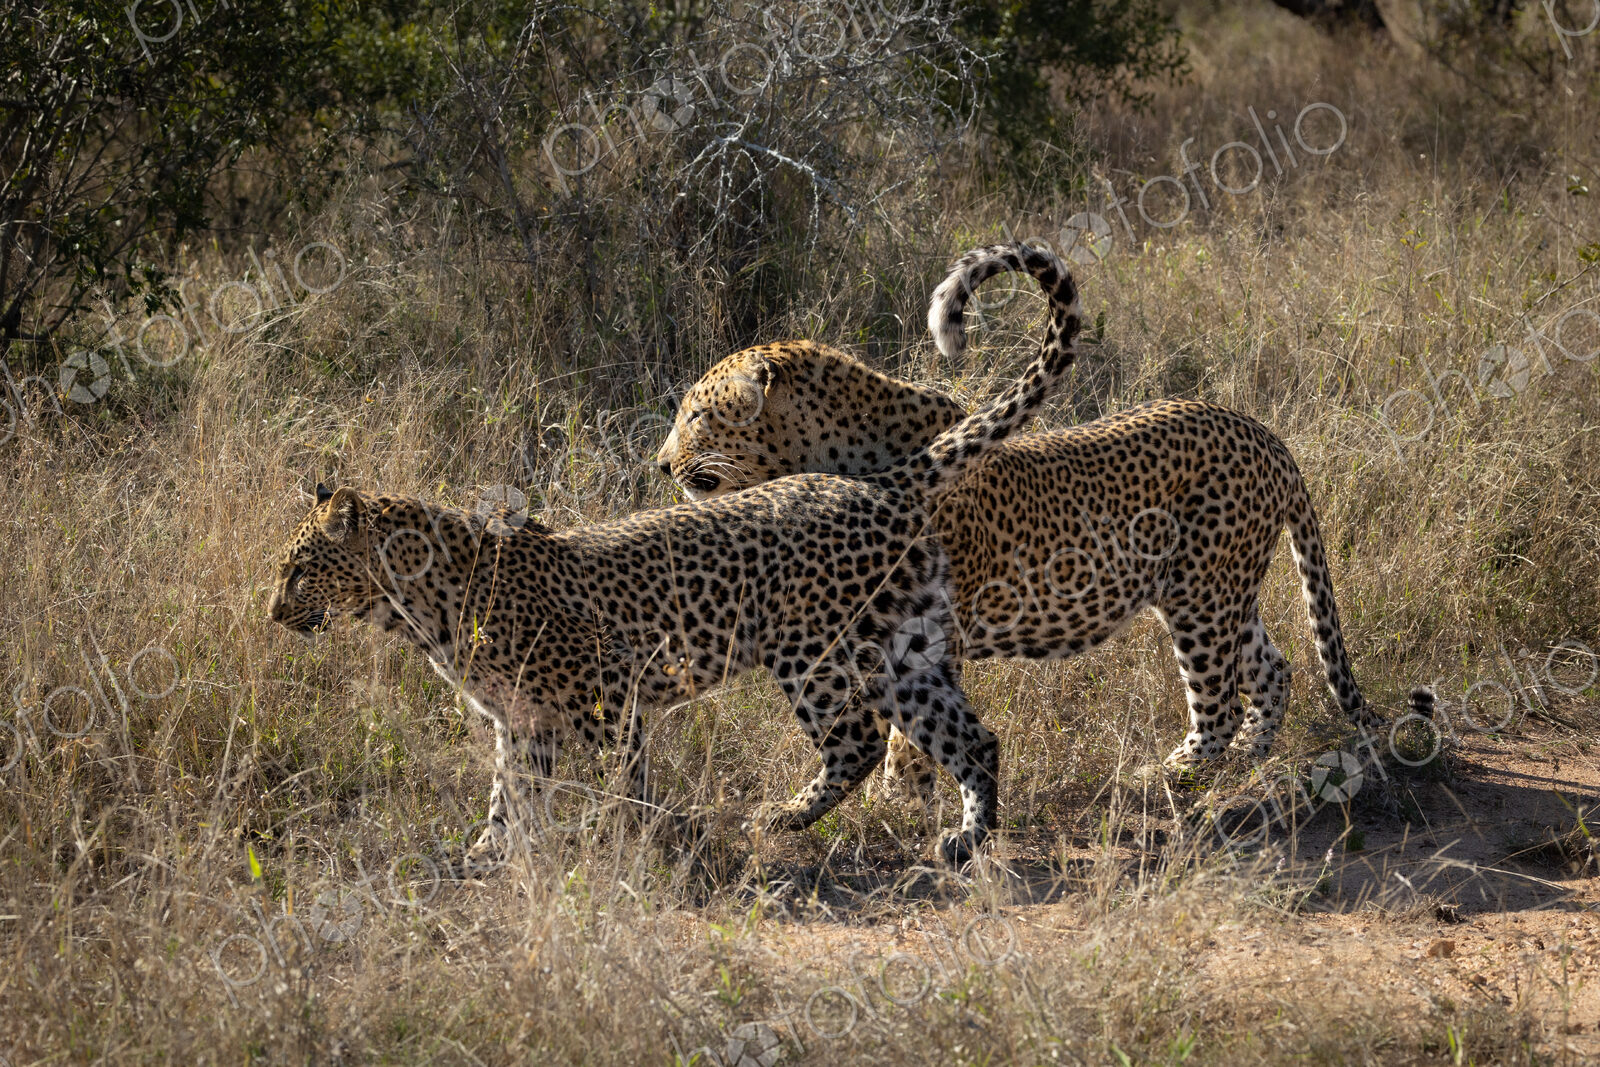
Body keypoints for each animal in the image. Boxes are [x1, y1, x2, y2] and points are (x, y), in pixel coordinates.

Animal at [266, 241, 1084, 870]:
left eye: (299, 570)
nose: (272, 613)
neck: (416, 605)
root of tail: (869, 478)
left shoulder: (606, 698)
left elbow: (620, 784)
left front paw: (629, 841)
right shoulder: (522, 724)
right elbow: (511, 800)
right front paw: (486, 858)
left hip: (815, 650)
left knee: (854, 741)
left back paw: (780, 818)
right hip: (904, 648)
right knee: (972, 736)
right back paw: (966, 841)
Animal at [657, 244, 1433, 796]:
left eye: (696, 414)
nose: (661, 466)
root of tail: (1264, 433)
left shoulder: (930, 631)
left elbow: (908, 730)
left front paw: (898, 794)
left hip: (1203, 599)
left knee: (1217, 700)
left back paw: (1169, 776)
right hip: (1215, 587)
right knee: (1271, 670)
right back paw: (1247, 763)